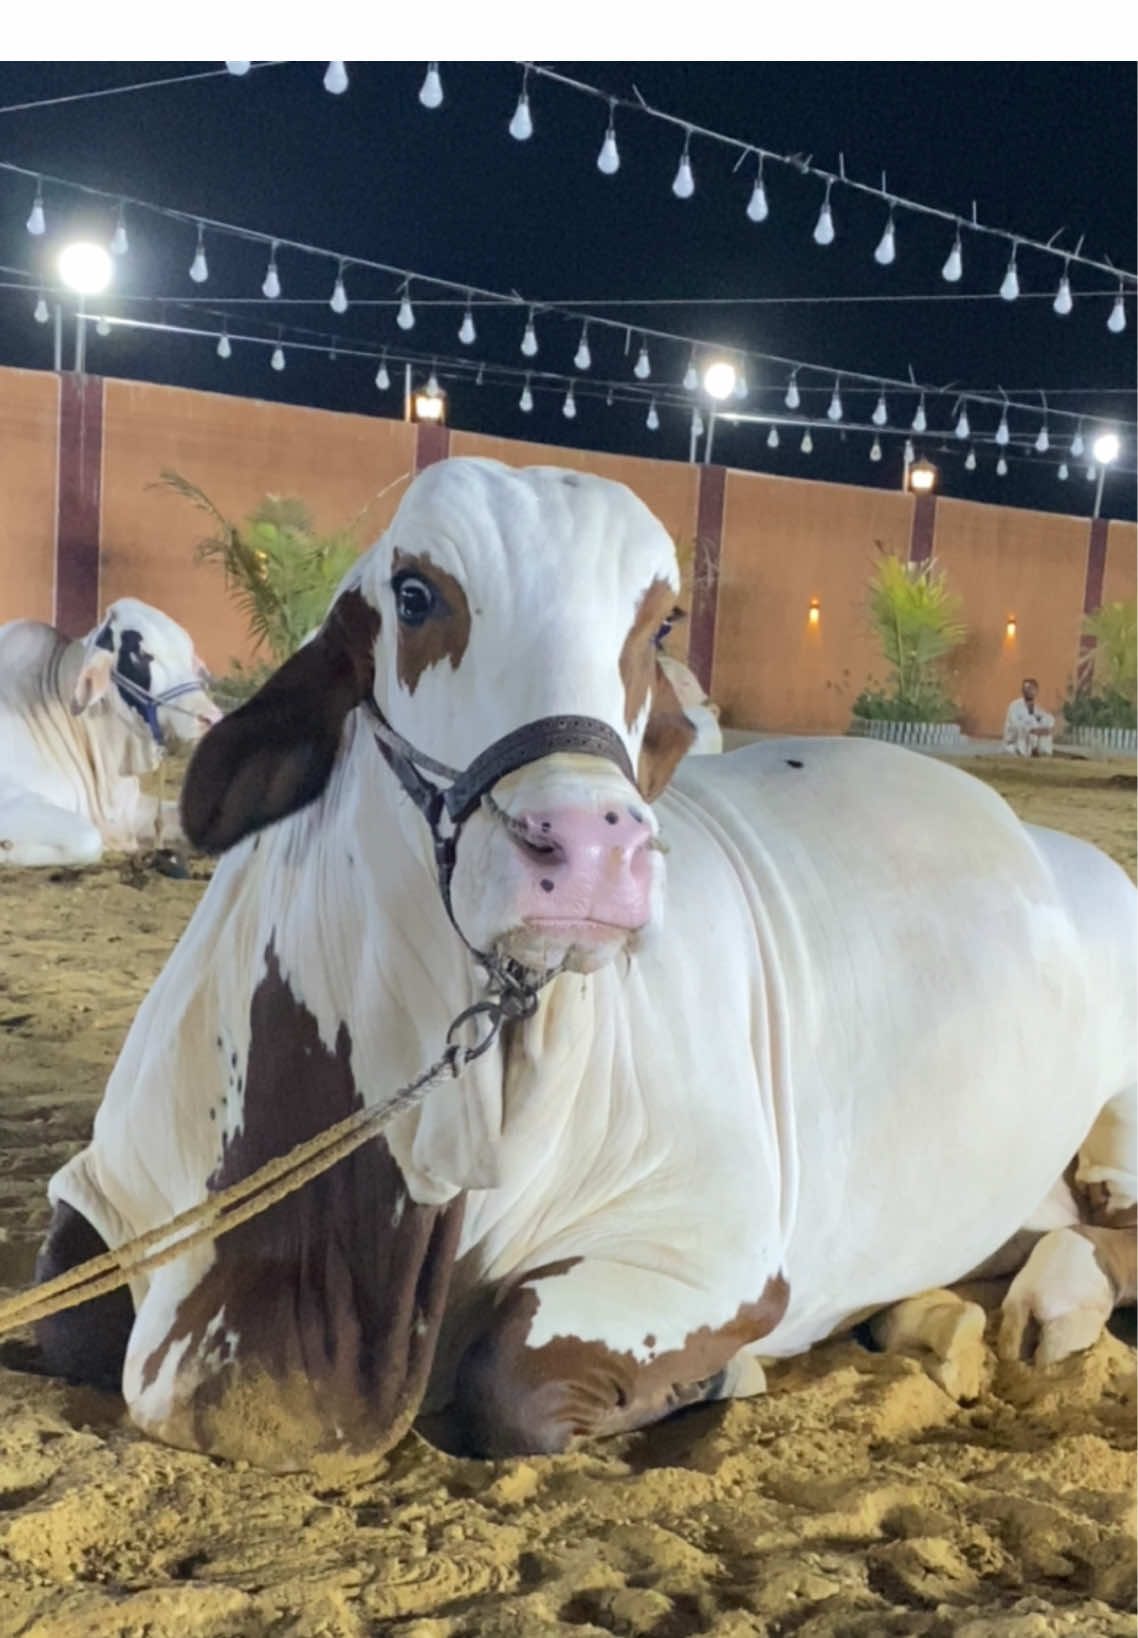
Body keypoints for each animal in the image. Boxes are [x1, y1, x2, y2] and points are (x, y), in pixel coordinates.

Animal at [36, 459, 1136, 1474]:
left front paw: (727, 1372)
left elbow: (511, 1380)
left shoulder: (711, 1248)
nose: (590, 847)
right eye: (414, 594)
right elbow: (61, 1320)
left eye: (661, 627)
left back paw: (1047, 1305)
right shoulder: (111, 1200)